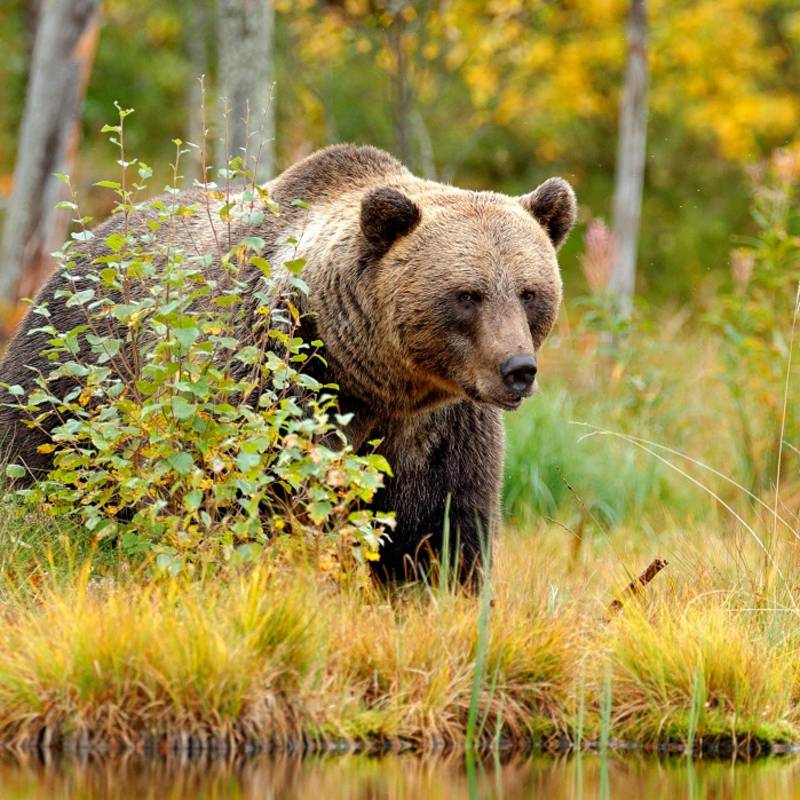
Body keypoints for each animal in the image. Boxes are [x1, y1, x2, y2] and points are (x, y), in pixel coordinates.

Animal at [1, 144, 576, 580]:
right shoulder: (276, 378)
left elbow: (440, 529)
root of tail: (90, 237)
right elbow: (247, 499)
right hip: (72, 374)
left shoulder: (442, 426)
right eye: (467, 295)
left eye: (528, 292)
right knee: (36, 467)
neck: (375, 380)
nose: (517, 369)